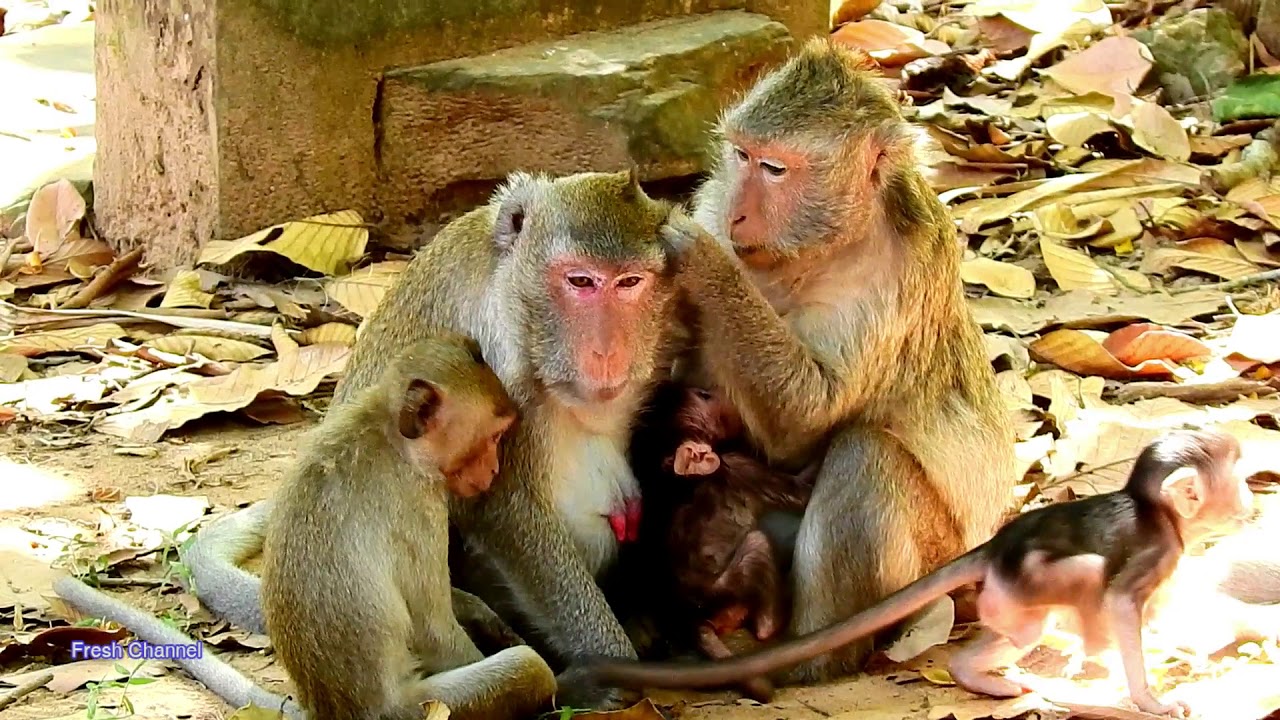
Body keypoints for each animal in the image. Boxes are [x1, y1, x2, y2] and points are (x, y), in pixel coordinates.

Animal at [54, 333, 557, 720]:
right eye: (494, 437)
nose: (492, 470)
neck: (386, 428)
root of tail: (331, 711)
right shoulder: (420, 507)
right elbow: (430, 628)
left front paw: (480, 613)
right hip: (418, 709)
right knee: (525, 667)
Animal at [176, 169, 683, 710]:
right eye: (580, 281)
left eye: (630, 283)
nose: (607, 352)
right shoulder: (499, 349)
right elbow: (506, 510)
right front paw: (614, 666)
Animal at [585, 429, 1251, 718]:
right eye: (1236, 474)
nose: (1251, 498)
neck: (1157, 512)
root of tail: (993, 545)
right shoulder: (1156, 549)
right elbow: (1121, 603)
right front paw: (1147, 694)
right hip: (1026, 582)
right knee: (1077, 584)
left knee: (1021, 630)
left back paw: (978, 674)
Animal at [649, 37, 1019, 683]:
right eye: (742, 156)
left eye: (775, 169)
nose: (739, 216)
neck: (823, 244)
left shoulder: (890, 276)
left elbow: (808, 419)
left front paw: (701, 258)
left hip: (931, 558)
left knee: (865, 454)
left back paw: (808, 655)